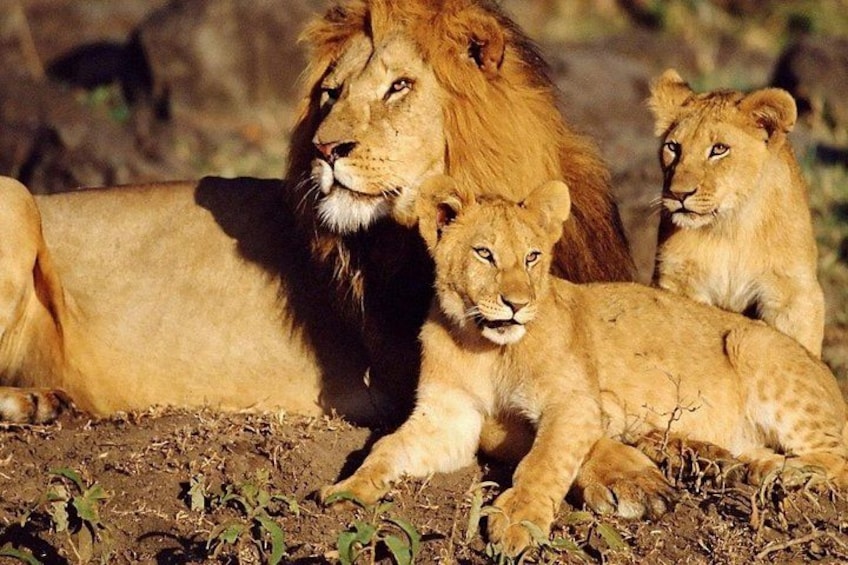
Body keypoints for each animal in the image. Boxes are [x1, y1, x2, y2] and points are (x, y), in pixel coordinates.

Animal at [322, 174, 848, 556]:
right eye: (484, 253)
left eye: (533, 257)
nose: (516, 304)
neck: (486, 347)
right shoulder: (449, 418)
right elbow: (387, 448)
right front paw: (347, 490)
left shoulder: (575, 403)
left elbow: (544, 460)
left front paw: (519, 520)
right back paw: (732, 464)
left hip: (750, 342)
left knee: (837, 458)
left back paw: (778, 475)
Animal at [649, 69, 825, 357]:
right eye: (673, 147)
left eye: (719, 149)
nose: (678, 194)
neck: (730, 227)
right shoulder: (677, 279)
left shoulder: (794, 292)